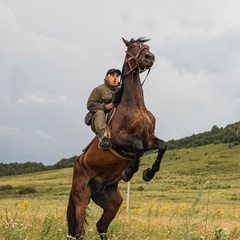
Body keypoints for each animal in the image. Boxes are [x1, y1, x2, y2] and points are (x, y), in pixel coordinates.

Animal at [66, 36, 167, 239]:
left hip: (112, 201)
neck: (135, 106)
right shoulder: (120, 140)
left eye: (147, 46)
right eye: (132, 46)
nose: (149, 57)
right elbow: (137, 146)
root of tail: (78, 164)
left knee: (101, 226)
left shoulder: (149, 139)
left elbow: (162, 145)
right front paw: (129, 172)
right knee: (79, 230)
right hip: (81, 196)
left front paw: (148, 172)